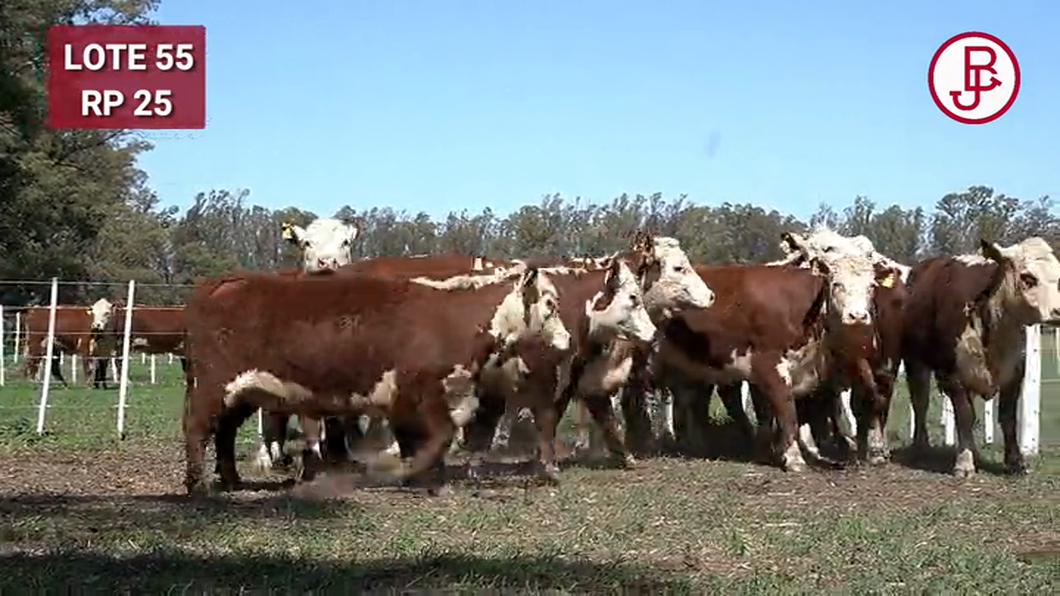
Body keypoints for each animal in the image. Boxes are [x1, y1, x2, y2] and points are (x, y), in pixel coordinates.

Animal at [186, 264, 576, 492]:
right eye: (550, 304)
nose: (567, 340)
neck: (451, 320)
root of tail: (222, 283)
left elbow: (426, 441)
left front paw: (427, 480)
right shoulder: (421, 392)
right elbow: (438, 437)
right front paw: (402, 474)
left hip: (242, 393)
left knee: (224, 432)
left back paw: (231, 480)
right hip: (211, 386)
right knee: (197, 428)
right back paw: (198, 485)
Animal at [903, 235, 1060, 472]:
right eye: (1028, 277)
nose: (1058, 311)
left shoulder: (1015, 372)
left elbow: (1007, 417)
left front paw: (1016, 462)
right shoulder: (953, 374)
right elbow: (964, 415)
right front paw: (964, 462)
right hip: (915, 362)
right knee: (920, 403)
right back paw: (921, 446)